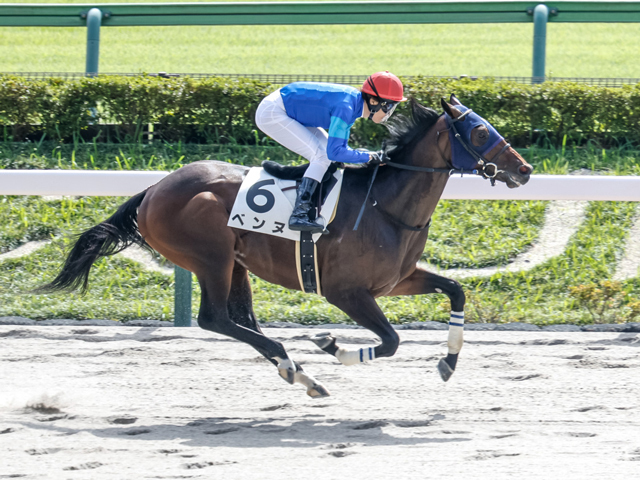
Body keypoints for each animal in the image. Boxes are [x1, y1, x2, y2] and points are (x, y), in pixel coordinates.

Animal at [37, 94, 532, 398]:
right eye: (481, 132)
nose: (524, 170)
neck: (384, 204)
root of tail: (154, 190)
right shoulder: (346, 292)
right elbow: (391, 341)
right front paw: (332, 345)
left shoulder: (398, 280)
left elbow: (456, 290)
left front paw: (448, 362)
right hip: (211, 256)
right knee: (214, 318)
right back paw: (296, 364)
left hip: (235, 262)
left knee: (240, 319)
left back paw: (297, 370)